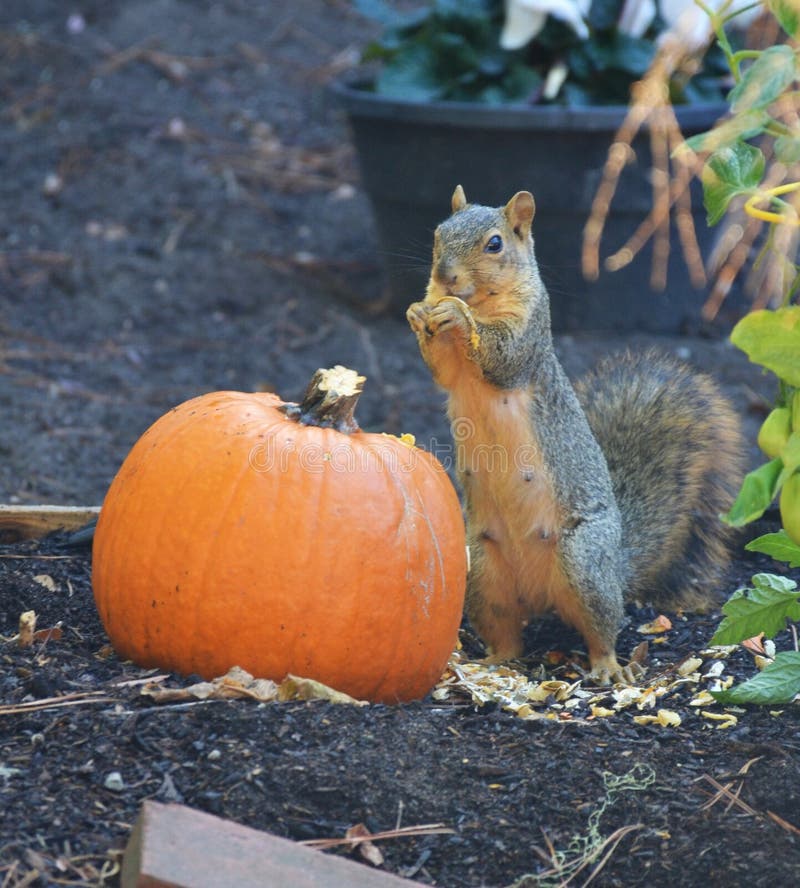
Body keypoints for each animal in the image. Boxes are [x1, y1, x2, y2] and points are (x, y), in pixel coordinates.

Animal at [406, 186, 744, 688]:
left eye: (494, 244)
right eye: (437, 234)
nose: (444, 278)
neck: (483, 299)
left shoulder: (528, 332)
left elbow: (503, 358)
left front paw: (457, 314)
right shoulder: (450, 369)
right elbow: (442, 370)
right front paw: (419, 312)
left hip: (584, 562)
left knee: (601, 627)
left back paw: (607, 666)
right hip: (482, 568)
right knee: (507, 633)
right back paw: (492, 661)